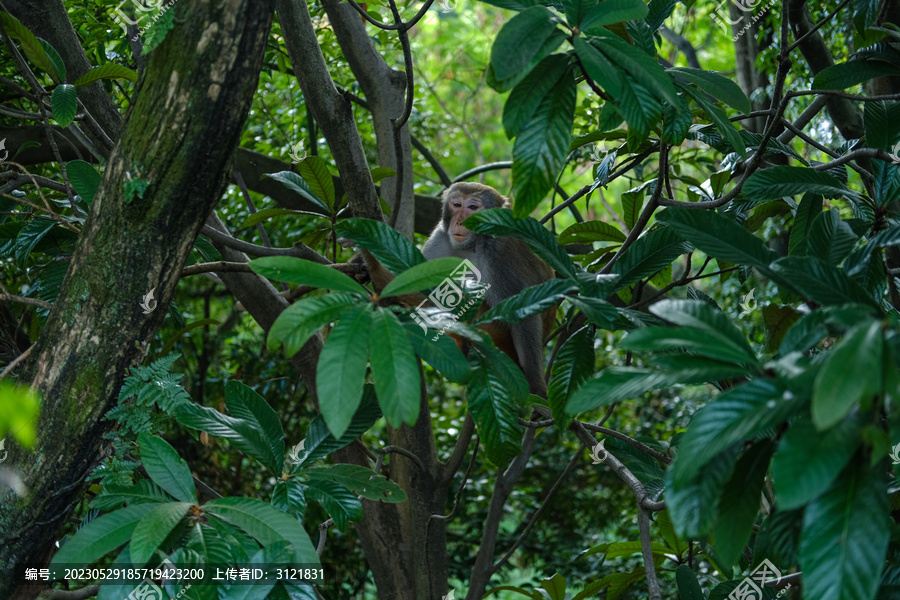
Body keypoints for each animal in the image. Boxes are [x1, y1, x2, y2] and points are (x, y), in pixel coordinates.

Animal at [422, 183, 556, 398]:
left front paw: (536, 385)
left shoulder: (499, 254)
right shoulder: (439, 239)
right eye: (457, 204)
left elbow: (521, 313)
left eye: (473, 208)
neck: (471, 246)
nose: (459, 222)